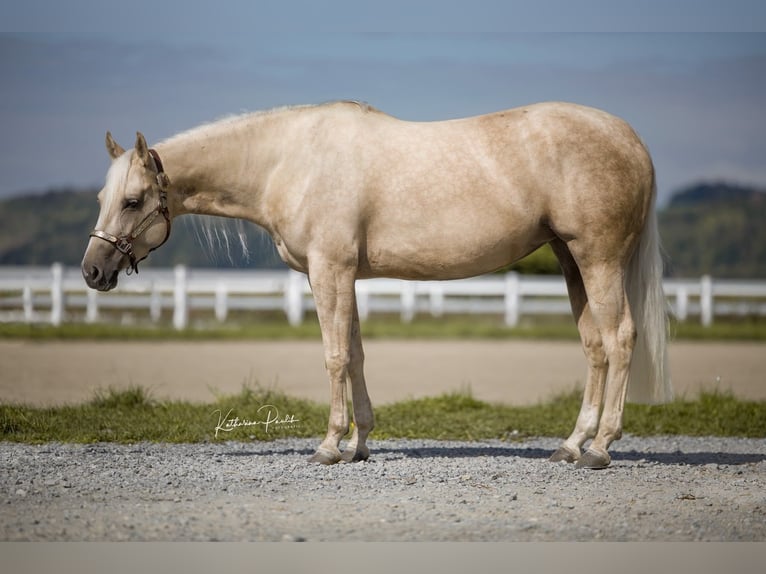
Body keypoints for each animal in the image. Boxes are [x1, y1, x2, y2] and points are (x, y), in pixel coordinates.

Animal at [81, 100, 672, 469]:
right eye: (103, 199)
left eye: (132, 200)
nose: (92, 271)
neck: (287, 160)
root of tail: (629, 138)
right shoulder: (344, 275)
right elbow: (357, 355)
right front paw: (360, 443)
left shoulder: (329, 270)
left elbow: (335, 356)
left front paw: (328, 445)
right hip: (572, 261)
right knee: (595, 347)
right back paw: (571, 445)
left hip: (598, 259)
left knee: (620, 339)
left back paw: (600, 449)